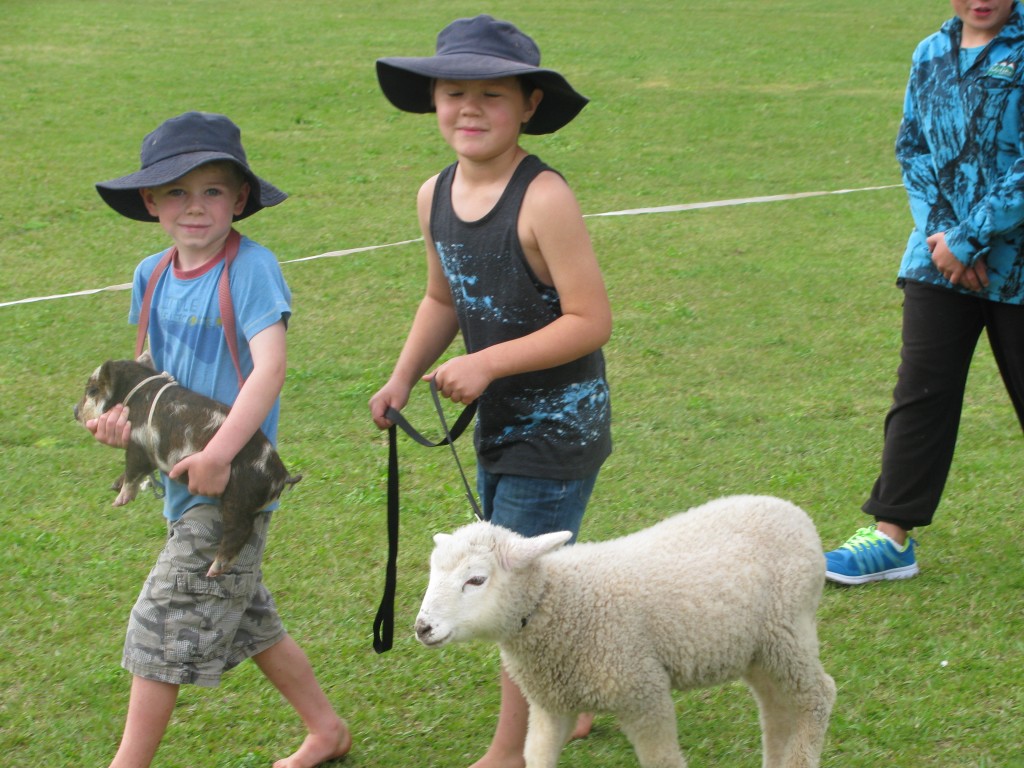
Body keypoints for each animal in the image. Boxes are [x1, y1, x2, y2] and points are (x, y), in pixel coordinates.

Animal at [74, 353, 301, 577]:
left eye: (92, 390)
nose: (75, 410)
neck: (135, 396)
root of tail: (279, 476)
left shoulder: (138, 444)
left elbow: (133, 471)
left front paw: (118, 501)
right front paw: (114, 485)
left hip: (238, 500)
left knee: (238, 532)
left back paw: (213, 570)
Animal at [415, 494, 835, 768]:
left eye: (476, 580)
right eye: (433, 572)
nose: (422, 628)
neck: (559, 602)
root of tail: (796, 514)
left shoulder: (644, 693)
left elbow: (662, 761)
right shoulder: (551, 706)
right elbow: (537, 756)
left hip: (789, 629)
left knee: (817, 696)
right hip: (758, 650)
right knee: (775, 709)